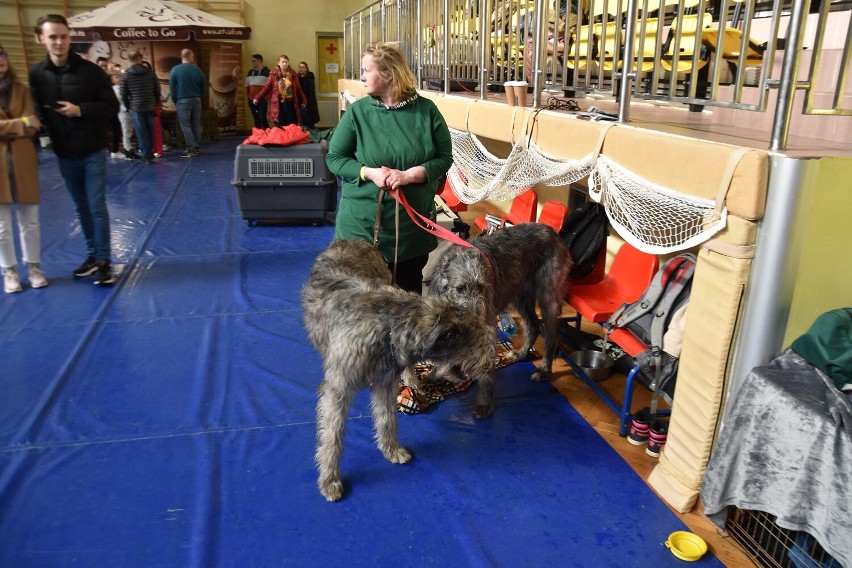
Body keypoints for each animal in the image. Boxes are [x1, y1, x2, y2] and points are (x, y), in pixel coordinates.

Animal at [304, 240, 492, 502]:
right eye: (479, 343)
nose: (490, 362)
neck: (389, 326)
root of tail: (352, 241)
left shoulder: (385, 382)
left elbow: (387, 418)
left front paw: (391, 449)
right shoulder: (338, 390)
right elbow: (333, 435)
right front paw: (329, 480)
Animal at [426, 222, 572, 418]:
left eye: (481, 287)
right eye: (460, 288)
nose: (475, 321)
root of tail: (551, 231)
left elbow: (486, 365)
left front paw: (484, 402)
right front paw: (437, 374)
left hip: (547, 295)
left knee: (551, 336)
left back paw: (544, 370)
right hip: (520, 294)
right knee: (533, 325)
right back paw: (520, 354)